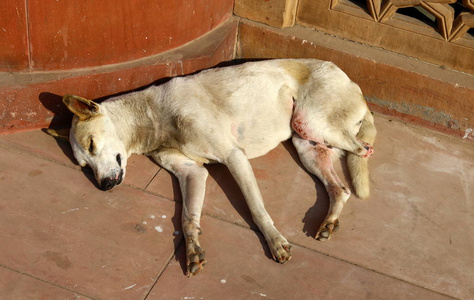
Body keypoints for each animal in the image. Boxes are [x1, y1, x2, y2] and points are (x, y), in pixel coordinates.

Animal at [56, 59, 374, 276]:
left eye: (92, 145)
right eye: (84, 165)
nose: (104, 186)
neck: (154, 119)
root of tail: (351, 80)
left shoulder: (234, 156)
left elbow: (256, 209)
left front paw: (274, 241)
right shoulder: (192, 172)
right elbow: (187, 219)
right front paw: (192, 251)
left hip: (312, 121)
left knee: (363, 150)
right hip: (307, 145)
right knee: (341, 188)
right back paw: (329, 221)